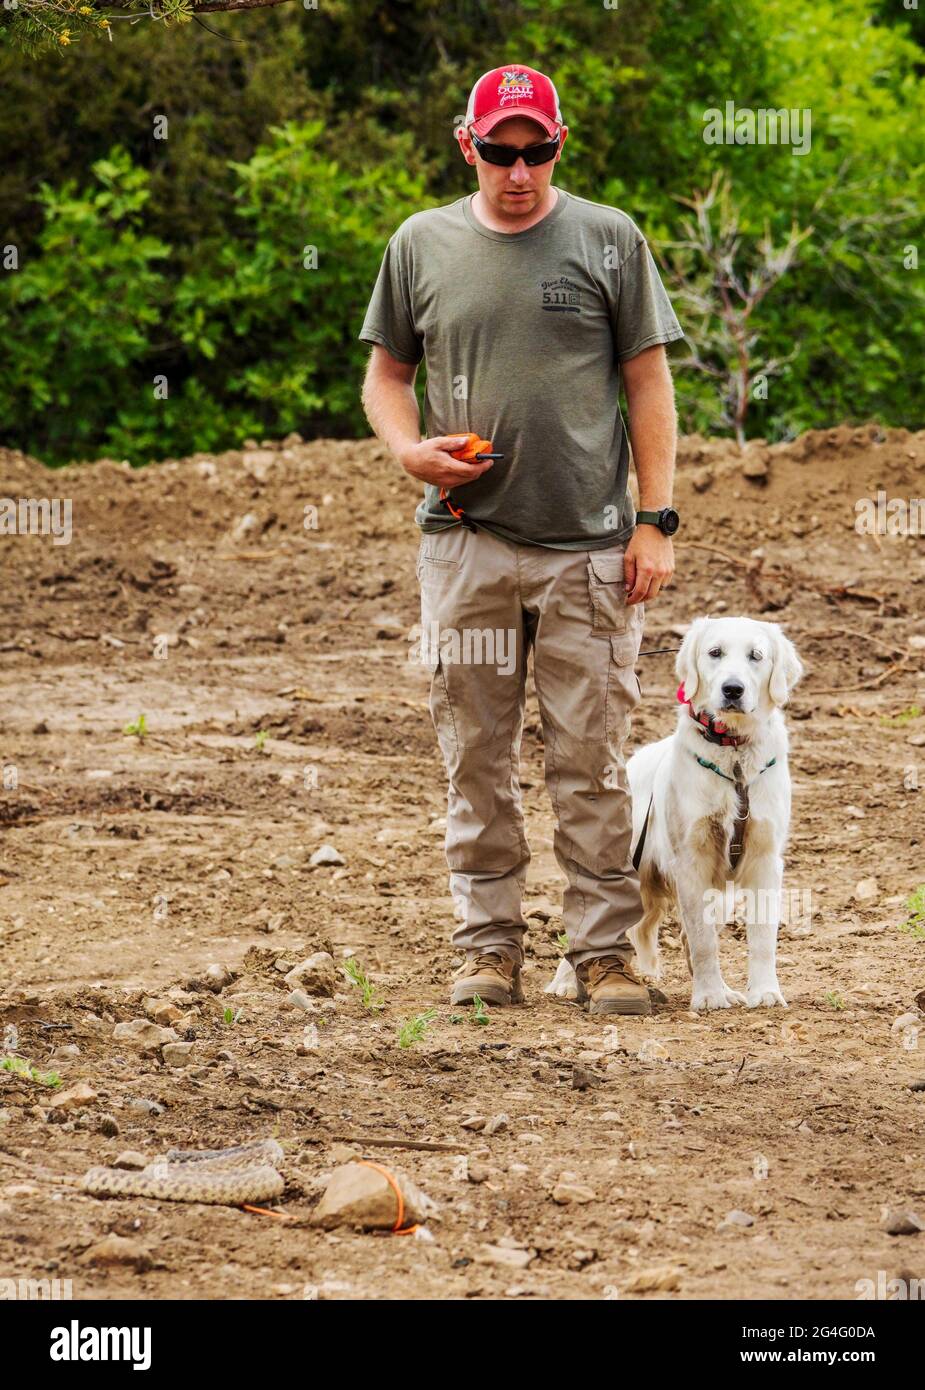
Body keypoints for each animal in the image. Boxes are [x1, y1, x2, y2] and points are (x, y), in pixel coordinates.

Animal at [548, 619, 801, 1011]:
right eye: (715, 652)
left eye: (756, 656)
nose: (732, 689)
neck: (734, 753)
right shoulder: (691, 860)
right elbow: (702, 940)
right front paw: (709, 996)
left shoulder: (764, 858)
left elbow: (760, 938)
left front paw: (763, 992)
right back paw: (564, 983)